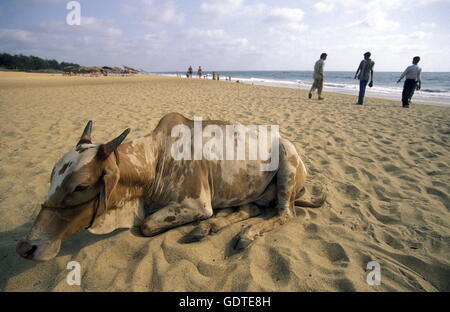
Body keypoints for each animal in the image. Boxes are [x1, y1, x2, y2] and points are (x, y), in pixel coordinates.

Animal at [16, 112, 324, 260]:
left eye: (81, 187)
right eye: (52, 178)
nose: (26, 248)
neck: (156, 160)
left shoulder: (197, 204)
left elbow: (146, 225)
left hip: (287, 165)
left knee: (284, 213)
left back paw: (245, 234)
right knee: (250, 209)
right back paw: (208, 229)